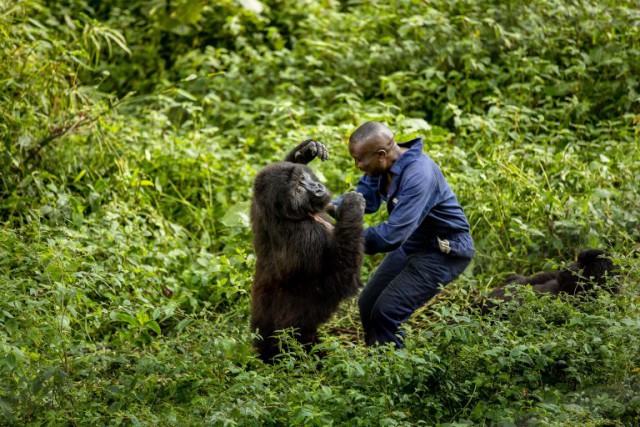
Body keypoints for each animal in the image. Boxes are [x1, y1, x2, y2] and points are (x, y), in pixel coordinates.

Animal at [249, 141, 362, 364]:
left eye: (303, 178)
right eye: (299, 190)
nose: (317, 189)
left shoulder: (257, 205)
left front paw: (304, 152)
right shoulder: (307, 237)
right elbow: (337, 281)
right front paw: (352, 207)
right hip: (290, 343)